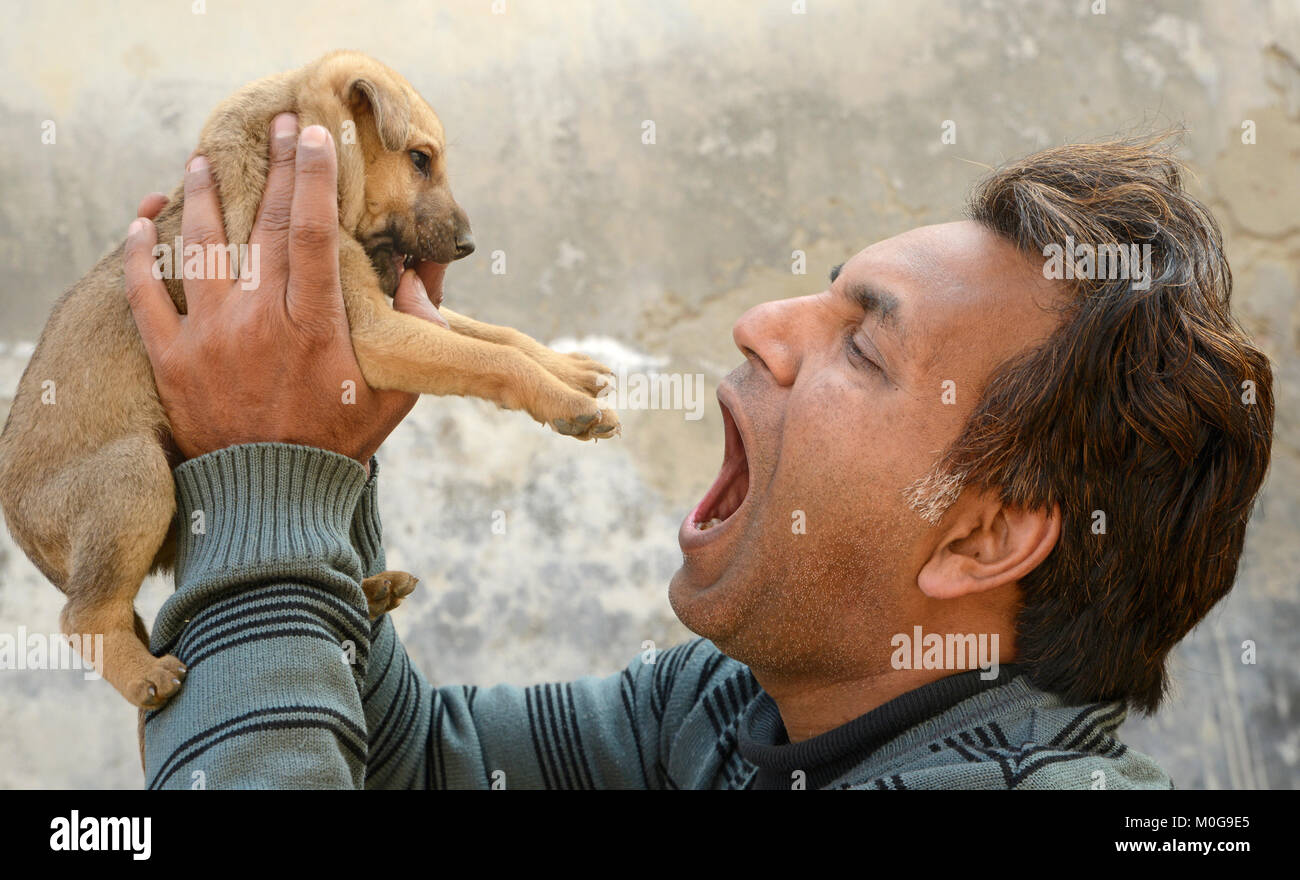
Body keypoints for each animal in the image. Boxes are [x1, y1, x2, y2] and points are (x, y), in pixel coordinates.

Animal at [0, 51, 621, 712]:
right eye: (419, 159)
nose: (469, 245)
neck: (292, 139)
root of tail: (27, 537)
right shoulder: (373, 331)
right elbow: (490, 359)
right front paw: (567, 403)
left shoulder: (393, 310)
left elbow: (498, 336)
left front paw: (571, 371)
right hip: (132, 477)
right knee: (85, 616)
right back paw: (146, 674)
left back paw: (370, 592)